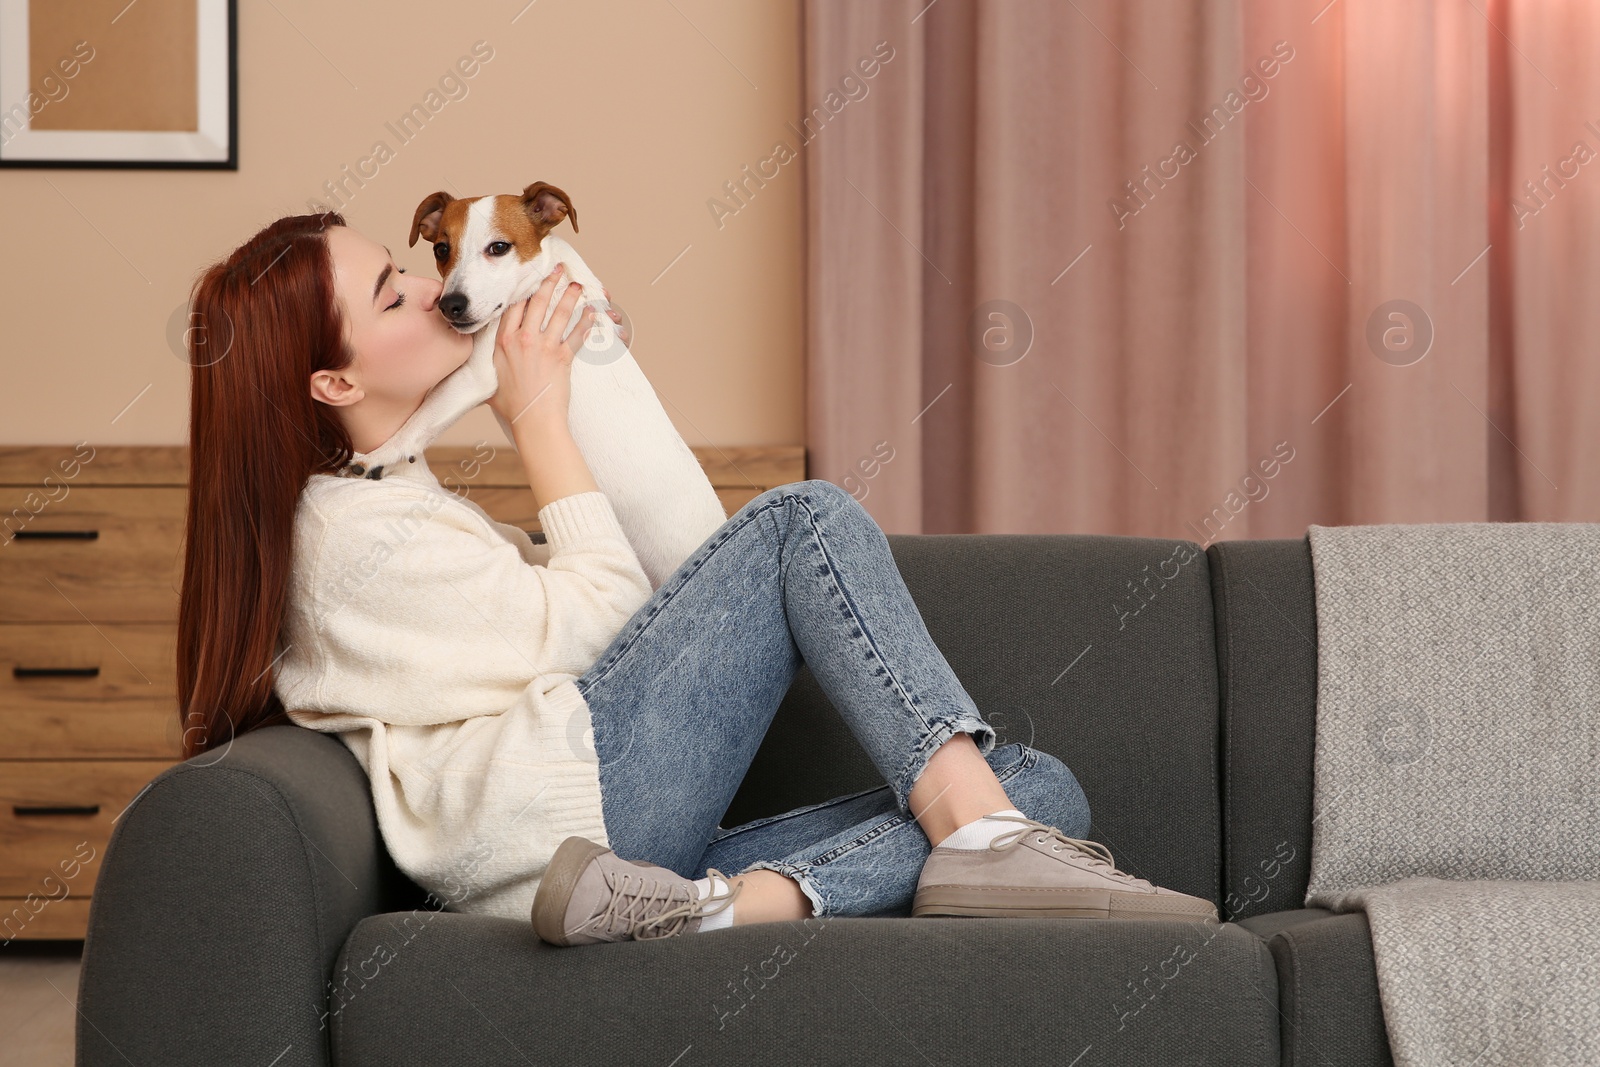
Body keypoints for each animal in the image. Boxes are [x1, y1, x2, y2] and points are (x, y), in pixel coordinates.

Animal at [356, 178, 726, 588]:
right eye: (441, 249)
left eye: (499, 248)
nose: (449, 305)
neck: (541, 283)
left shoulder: (474, 375)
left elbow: (420, 417)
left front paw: (378, 454)